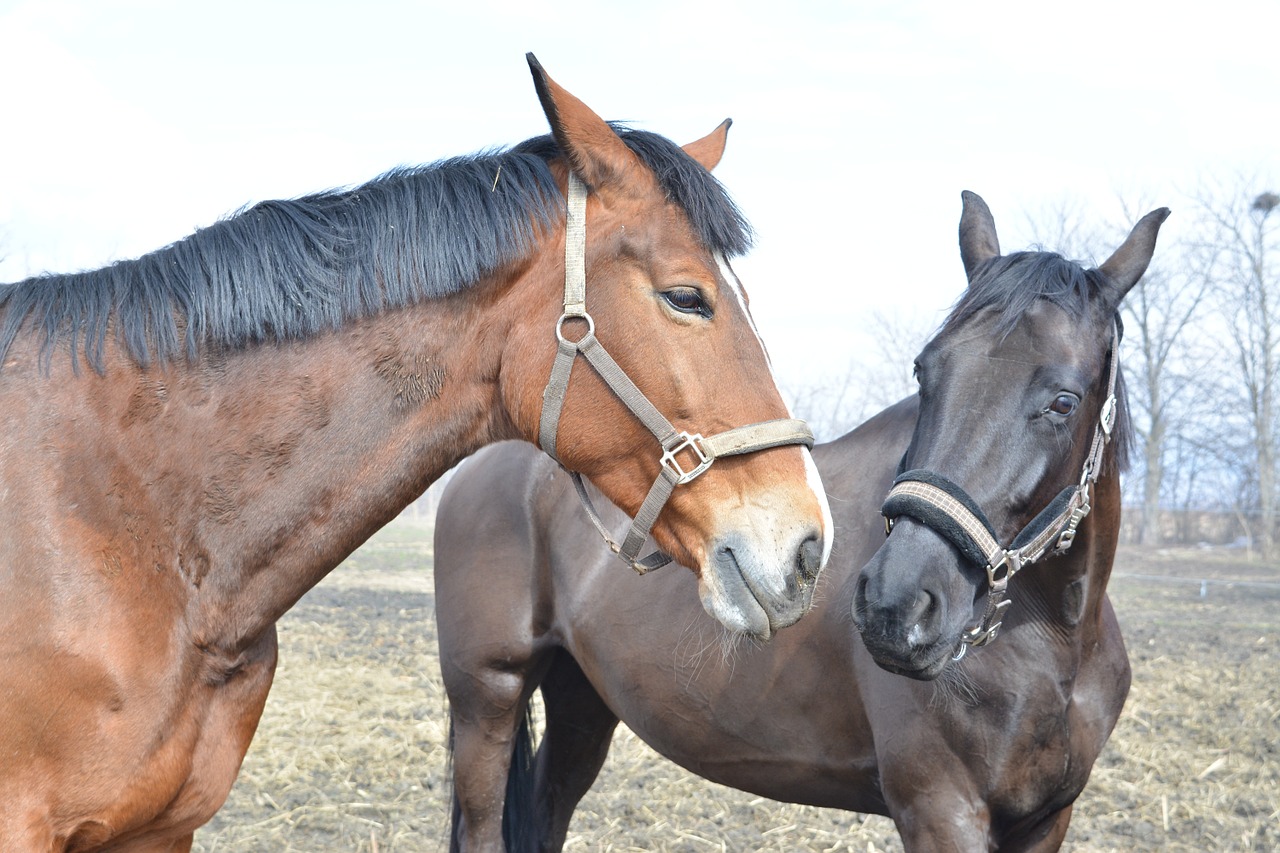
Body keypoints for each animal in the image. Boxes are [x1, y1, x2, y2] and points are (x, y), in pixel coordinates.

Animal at [435, 192, 1167, 850]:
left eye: (1063, 400)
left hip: (581, 698)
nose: (896, 605)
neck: (1055, 642)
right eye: (925, 371)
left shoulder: (1045, 819)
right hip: (488, 699)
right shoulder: (941, 810)